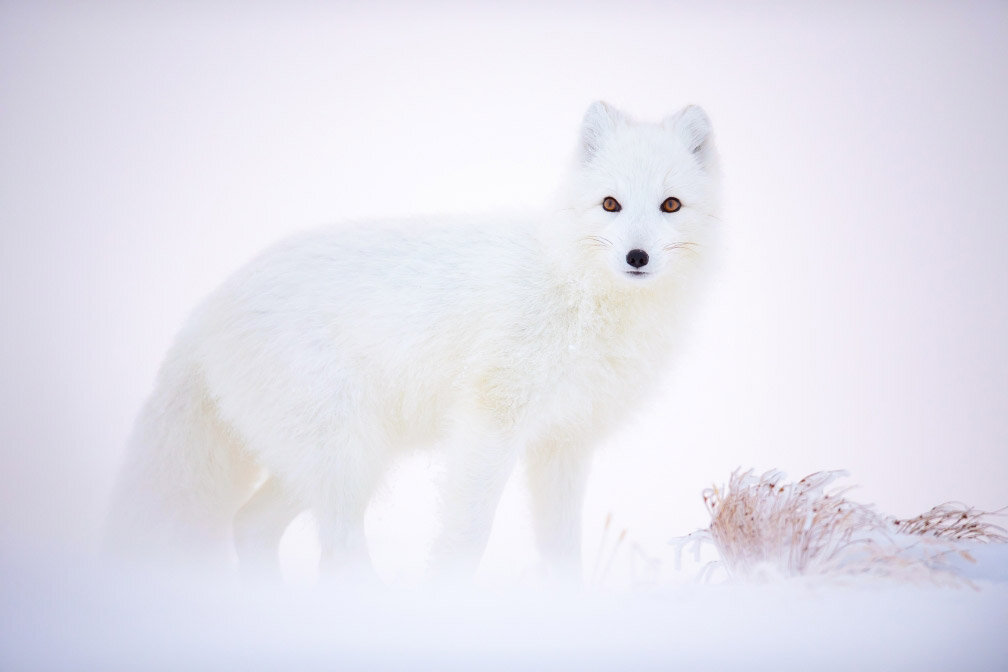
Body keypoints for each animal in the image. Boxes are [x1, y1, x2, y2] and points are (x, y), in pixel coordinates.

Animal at [108, 102, 725, 580]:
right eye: (610, 204)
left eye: (670, 205)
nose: (637, 257)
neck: (574, 289)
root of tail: (206, 309)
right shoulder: (490, 421)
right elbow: (468, 533)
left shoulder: (564, 441)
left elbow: (560, 549)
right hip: (346, 456)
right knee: (337, 553)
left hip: (326, 463)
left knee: (250, 527)